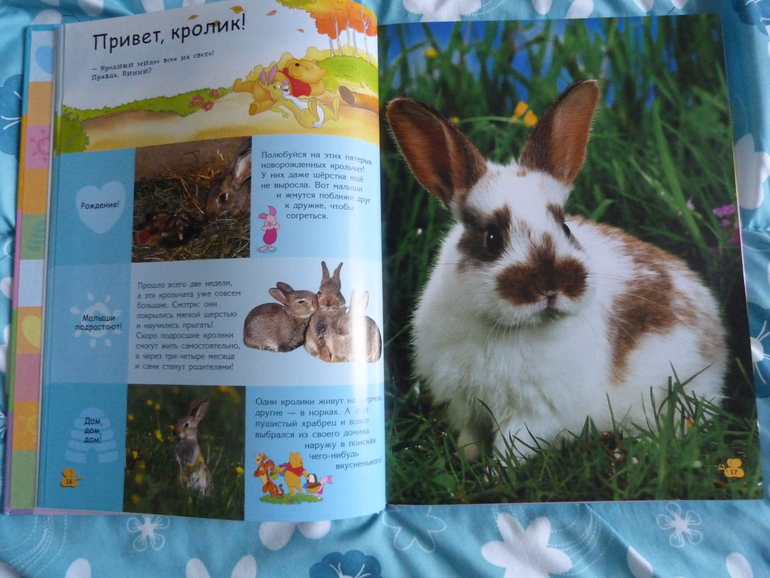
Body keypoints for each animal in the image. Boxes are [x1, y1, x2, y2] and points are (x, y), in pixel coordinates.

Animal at [386, 80, 728, 462]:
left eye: (564, 226)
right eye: (492, 238)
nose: (550, 286)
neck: (507, 329)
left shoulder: (532, 415)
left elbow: (510, 450)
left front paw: (493, 473)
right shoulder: (464, 405)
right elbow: (469, 439)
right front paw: (465, 461)